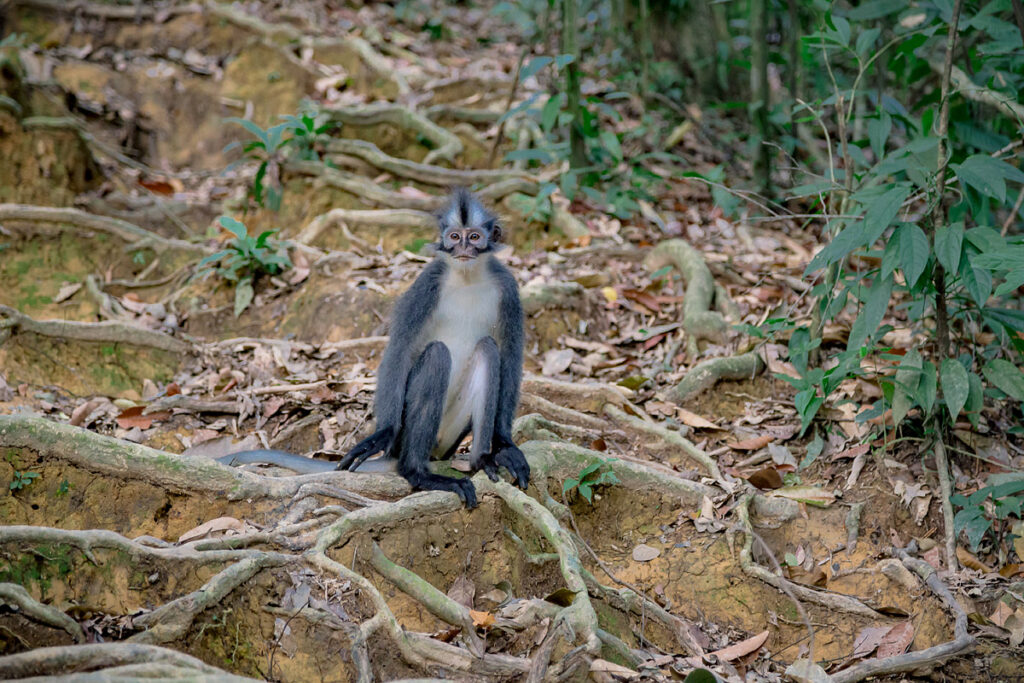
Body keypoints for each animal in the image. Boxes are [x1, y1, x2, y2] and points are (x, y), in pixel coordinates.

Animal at [217, 188, 530, 508]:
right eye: (454, 237)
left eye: (474, 237)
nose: (463, 248)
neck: (466, 277)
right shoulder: (427, 283)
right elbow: (400, 350)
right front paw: (382, 434)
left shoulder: (507, 288)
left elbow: (510, 356)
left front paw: (504, 445)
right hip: (411, 436)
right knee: (437, 355)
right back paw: (417, 473)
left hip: (450, 436)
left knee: (488, 349)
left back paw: (482, 460)